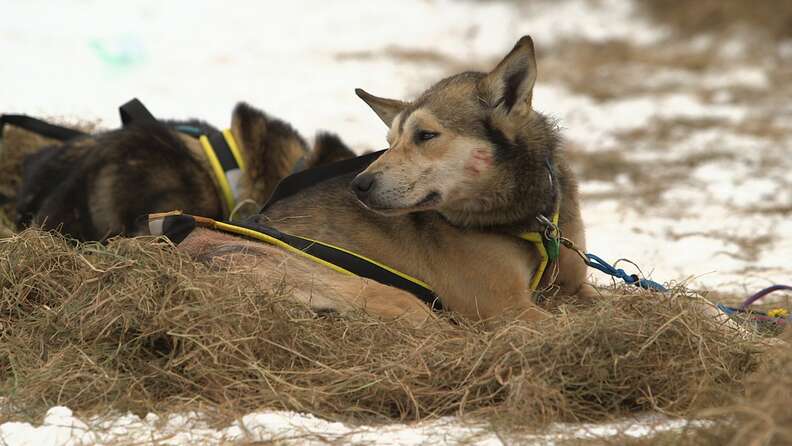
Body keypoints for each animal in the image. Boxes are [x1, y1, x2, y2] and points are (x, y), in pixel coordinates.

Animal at [176, 34, 592, 320]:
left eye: (426, 135)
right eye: (389, 142)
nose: (358, 185)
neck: (525, 221)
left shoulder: (575, 286)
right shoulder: (508, 309)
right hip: (390, 295)